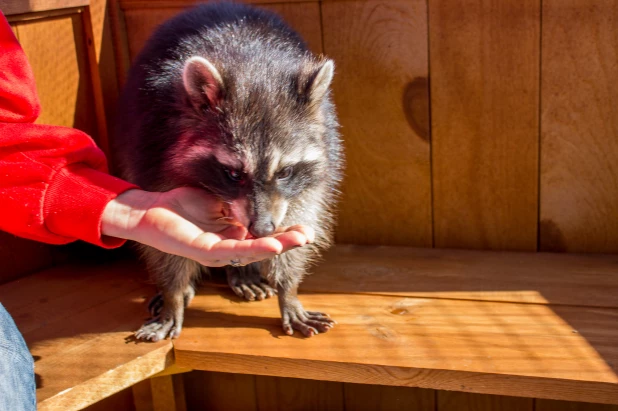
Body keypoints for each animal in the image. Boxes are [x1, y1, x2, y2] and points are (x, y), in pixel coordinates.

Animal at [113, 1, 344, 342]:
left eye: (285, 172)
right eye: (234, 174)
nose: (262, 229)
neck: (253, 66)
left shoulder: (319, 159)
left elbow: (301, 214)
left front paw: (288, 291)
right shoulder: (152, 148)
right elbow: (161, 245)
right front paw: (172, 293)